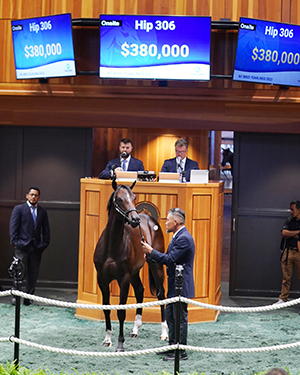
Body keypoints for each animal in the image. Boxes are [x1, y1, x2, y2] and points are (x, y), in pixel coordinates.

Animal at [94, 181, 166, 352]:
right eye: (119, 199)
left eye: (134, 197)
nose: (135, 219)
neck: (111, 246)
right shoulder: (102, 279)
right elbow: (106, 308)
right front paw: (107, 339)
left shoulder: (124, 279)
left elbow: (121, 311)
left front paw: (120, 344)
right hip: (135, 272)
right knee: (140, 290)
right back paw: (135, 329)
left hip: (156, 266)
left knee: (162, 294)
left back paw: (164, 333)